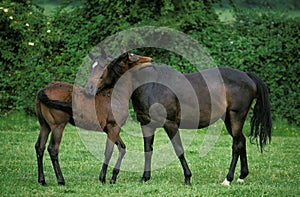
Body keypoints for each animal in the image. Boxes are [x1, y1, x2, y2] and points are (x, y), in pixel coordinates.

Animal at [34, 53, 152, 185]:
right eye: (135, 58)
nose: (149, 59)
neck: (114, 95)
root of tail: (43, 90)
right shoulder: (114, 127)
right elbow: (109, 151)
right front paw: (103, 178)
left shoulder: (109, 129)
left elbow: (122, 148)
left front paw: (113, 178)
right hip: (57, 126)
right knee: (53, 149)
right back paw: (61, 180)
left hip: (44, 126)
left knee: (39, 147)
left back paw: (42, 180)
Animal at [84, 52, 272, 185]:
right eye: (91, 68)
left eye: (106, 67)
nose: (89, 89)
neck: (151, 85)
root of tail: (247, 76)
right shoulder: (147, 125)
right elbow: (148, 149)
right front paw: (145, 177)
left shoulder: (170, 124)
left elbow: (179, 149)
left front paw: (188, 177)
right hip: (229, 120)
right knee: (242, 141)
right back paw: (242, 176)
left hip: (236, 117)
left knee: (237, 145)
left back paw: (228, 179)